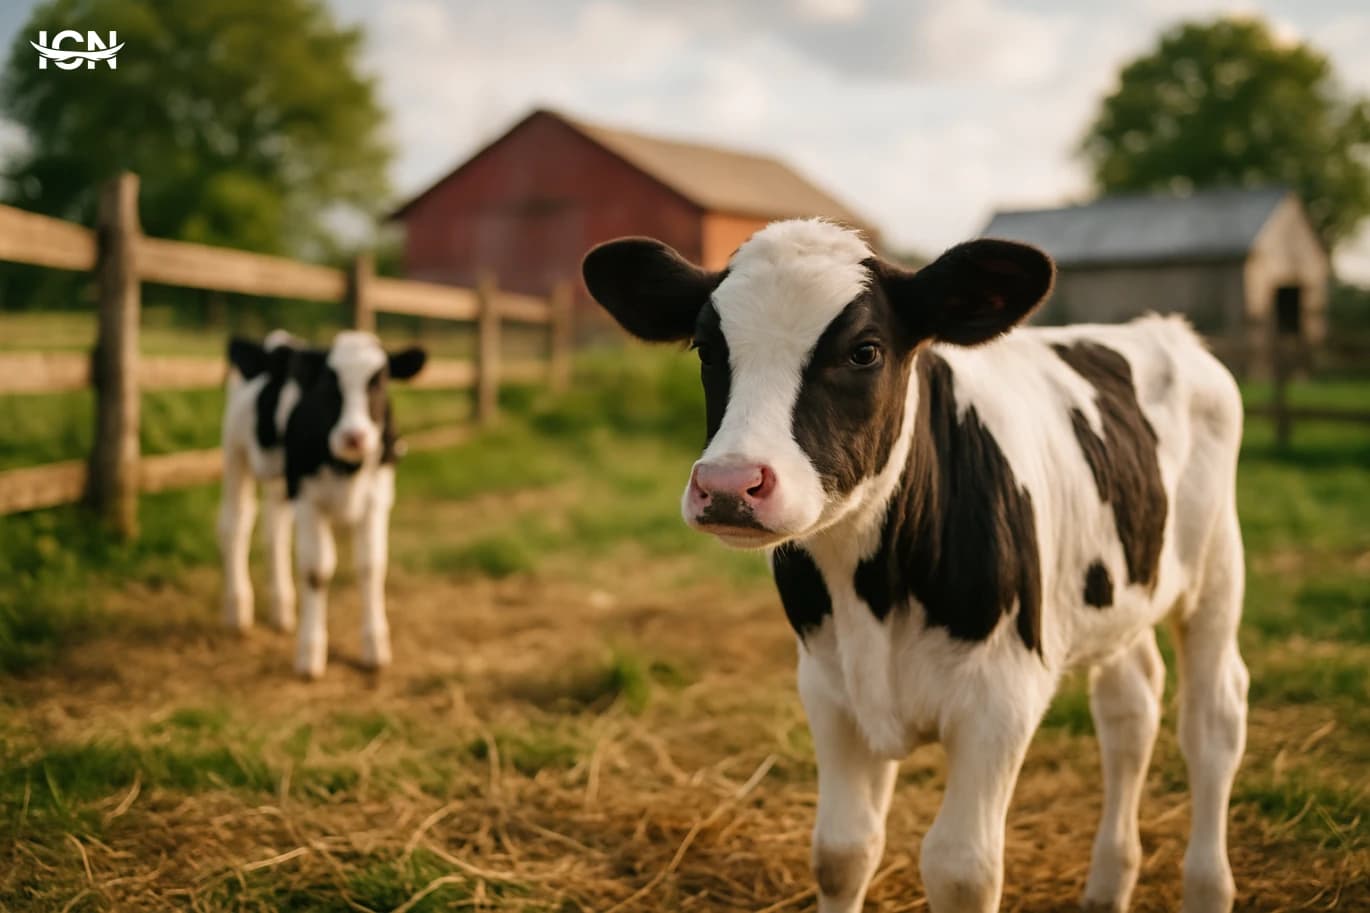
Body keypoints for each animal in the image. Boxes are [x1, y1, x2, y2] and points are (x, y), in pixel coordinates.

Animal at [219, 329, 427, 679]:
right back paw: (238, 610)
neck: (347, 467)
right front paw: (310, 653)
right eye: (328, 384)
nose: (354, 436)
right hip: (236, 453)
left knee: (274, 530)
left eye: (379, 381)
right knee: (236, 522)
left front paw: (375, 648)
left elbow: (371, 566)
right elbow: (316, 570)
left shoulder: (377, 497)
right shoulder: (307, 495)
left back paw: (282, 609)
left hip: (281, 480)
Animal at [582, 219, 1247, 913]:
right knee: (1129, 710)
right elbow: (842, 851)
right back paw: (1109, 883)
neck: (870, 593)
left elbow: (961, 868)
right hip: (1120, 597)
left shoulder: (1002, 699)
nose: (729, 484)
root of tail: (1165, 329)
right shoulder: (829, 688)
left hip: (1216, 570)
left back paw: (1207, 883)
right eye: (708, 349)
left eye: (865, 351)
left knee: (1213, 722)